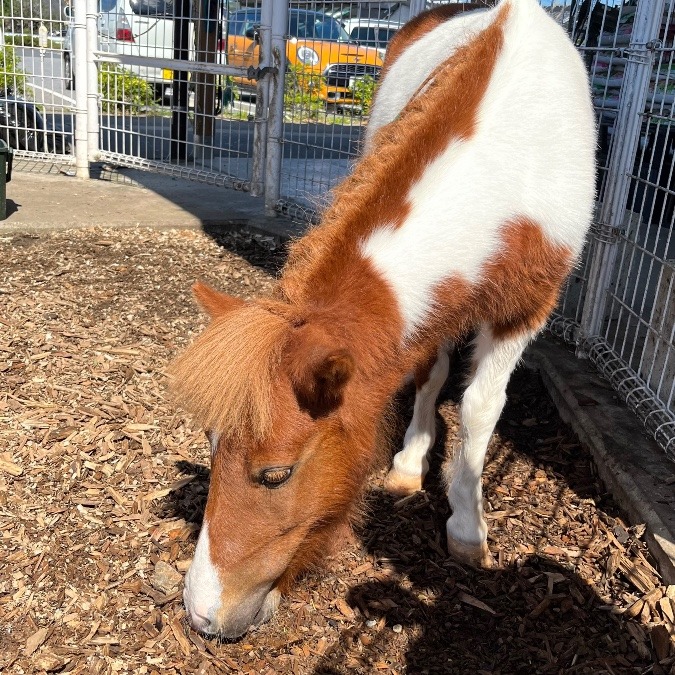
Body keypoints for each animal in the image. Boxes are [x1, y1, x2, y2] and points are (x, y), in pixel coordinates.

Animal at [170, 0, 596, 640]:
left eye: (276, 474)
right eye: (210, 442)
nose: (202, 614)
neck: (508, 162)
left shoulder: (526, 310)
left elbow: (479, 407)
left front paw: (467, 528)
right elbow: (428, 373)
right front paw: (410, 465)